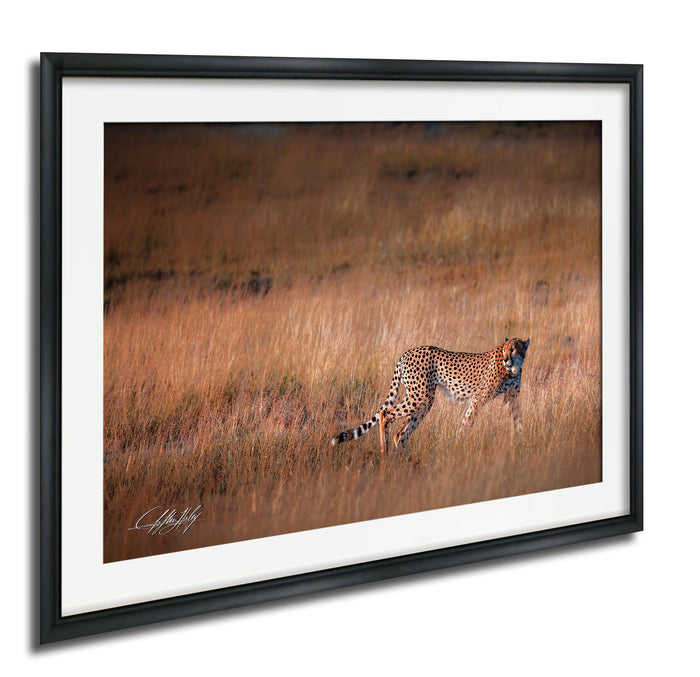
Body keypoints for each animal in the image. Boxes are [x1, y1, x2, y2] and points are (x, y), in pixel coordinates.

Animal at [331, 337, 530, 455]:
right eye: (504, 350)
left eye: (513, 349)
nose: (505, 359)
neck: (513, 368)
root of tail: (406, 353)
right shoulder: (478, 399)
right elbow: (467, 423)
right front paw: (457, 445)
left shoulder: (512, 398)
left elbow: (518, 420)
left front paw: (522, 443)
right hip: (421, 397)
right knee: (385, 414)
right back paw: (384, 452)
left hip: (420, 400)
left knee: (400, 432)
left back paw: (403, 459)